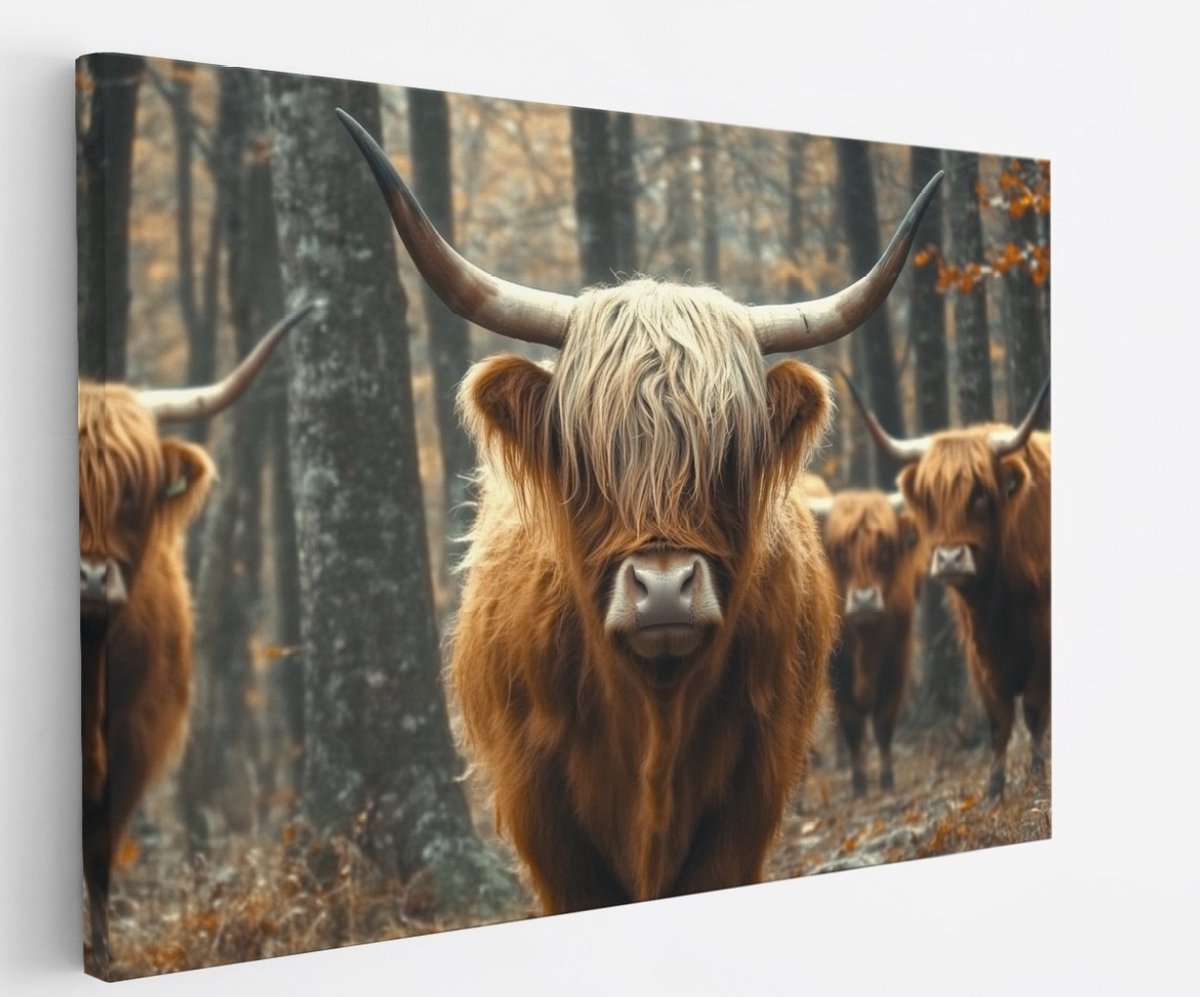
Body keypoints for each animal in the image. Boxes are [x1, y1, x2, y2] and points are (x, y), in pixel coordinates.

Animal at [809, 489, 922, 796]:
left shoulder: (897, 661)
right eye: (841, 552)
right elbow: (851, 724)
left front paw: (886, 777)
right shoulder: (837, 670)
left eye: (885, 549)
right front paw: (859, 781)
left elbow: (883, 723)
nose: (864, 601)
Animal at [842, 375, 1051, 798]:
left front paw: (1037, 773)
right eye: (930, 498)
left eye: (980, 493)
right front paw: (994, 787)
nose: (951, 560)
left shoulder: (1043, 640)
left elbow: (1035, 709)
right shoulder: (979, 652)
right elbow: (998, 717)